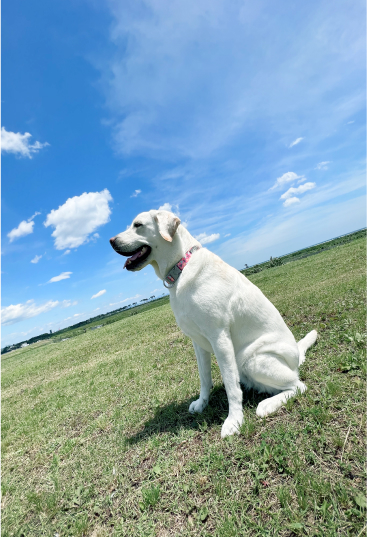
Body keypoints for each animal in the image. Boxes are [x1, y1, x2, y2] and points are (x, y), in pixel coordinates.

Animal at [110, 208, 320, 436]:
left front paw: (234, 420)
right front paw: (202, 403)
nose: (111, 241)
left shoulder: (220, 337)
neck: (182, 265)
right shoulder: (197, 342)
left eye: (137, 225)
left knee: (298, 385)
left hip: (254, 359)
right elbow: (204, 377)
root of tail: (297, 356)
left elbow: (231, 386)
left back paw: (267, 404)